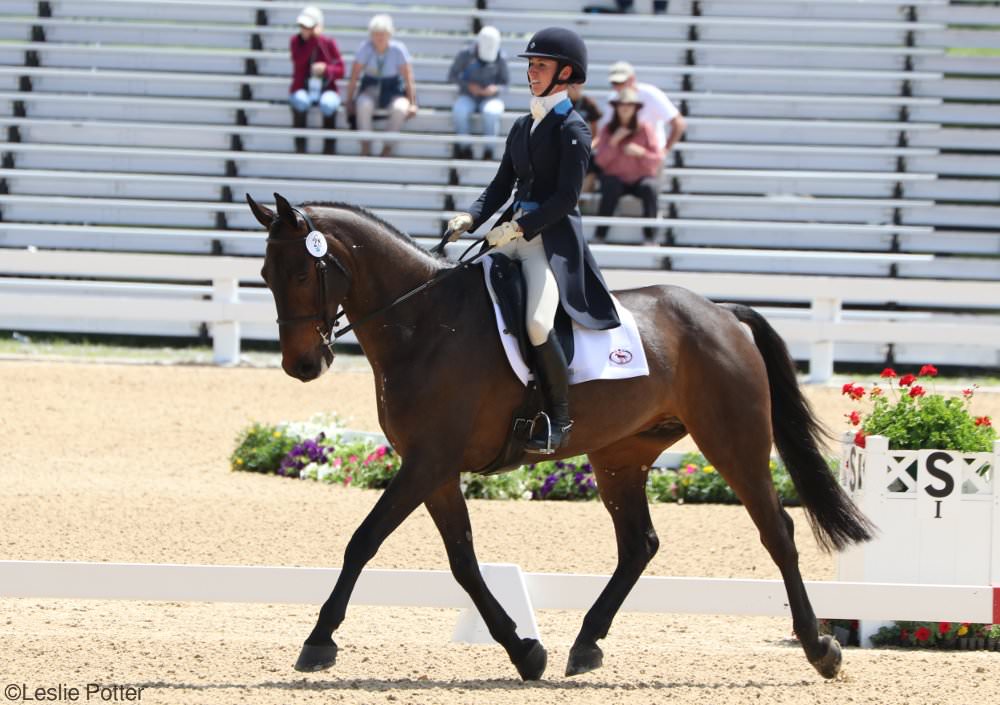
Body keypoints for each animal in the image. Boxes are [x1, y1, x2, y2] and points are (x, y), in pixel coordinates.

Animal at [246, 194, 872, 680]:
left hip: (733, 441)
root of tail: (721, 312)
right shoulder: (435, 469)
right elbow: (463, 562)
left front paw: (318, 641)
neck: (424, 324)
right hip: (620, 455)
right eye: (264, 277)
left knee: (778, 532)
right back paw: (586, 644)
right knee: (639, 544)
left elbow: (363, 541)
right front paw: (525, 651)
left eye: (301, 274)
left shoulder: (427, 462)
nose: (302, 366)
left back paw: (821, 649)